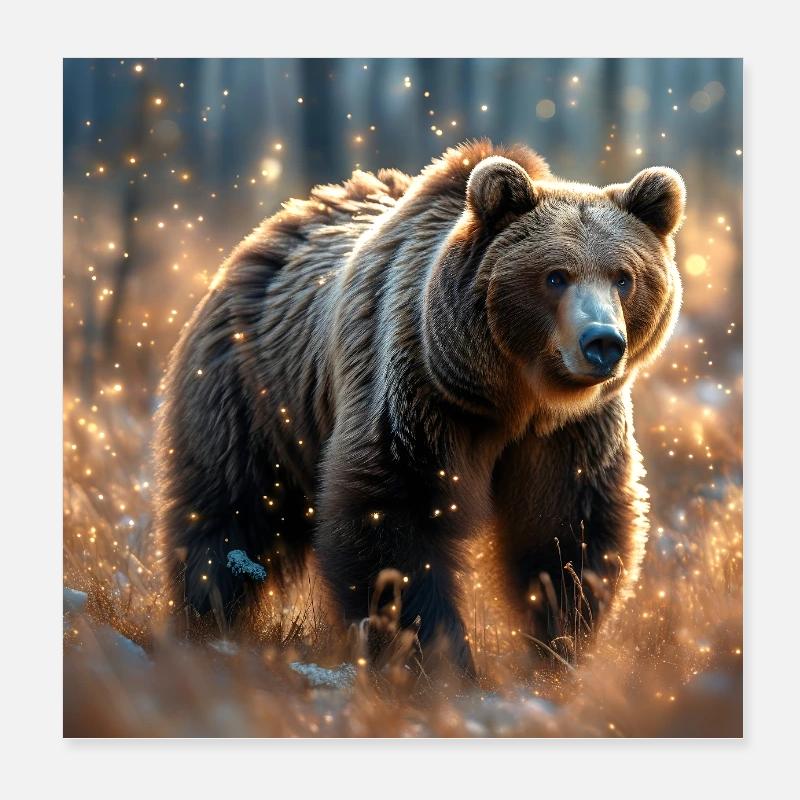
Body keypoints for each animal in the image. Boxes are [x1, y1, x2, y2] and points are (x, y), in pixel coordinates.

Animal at [154, 139, 685, 675]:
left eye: (623, 278)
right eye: (555, 276)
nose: (602, 343)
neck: (512, 394)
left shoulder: (569, 433)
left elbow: (566, 528)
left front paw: (557, 645)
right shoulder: (417, 399)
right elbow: (389, 520)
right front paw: (440, 657)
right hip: (253, 394)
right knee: (226, 511)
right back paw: (207, 620)